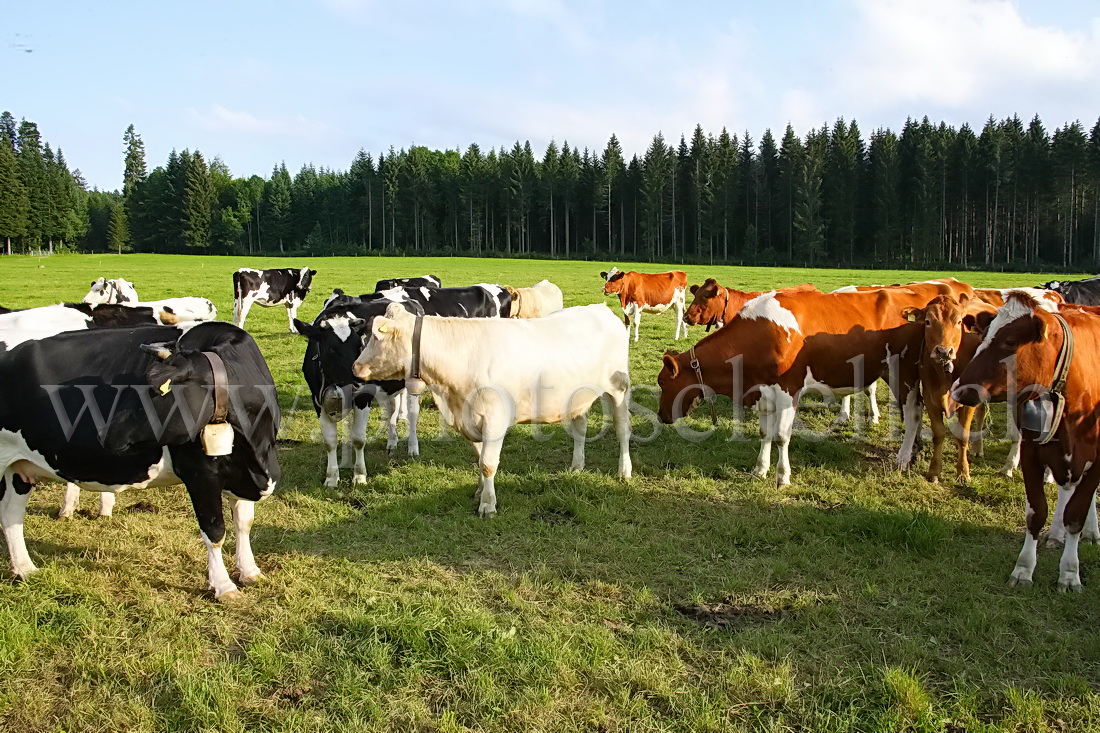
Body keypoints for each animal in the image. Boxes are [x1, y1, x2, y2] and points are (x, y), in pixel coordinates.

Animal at [0, 323, 279, 598]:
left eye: (156, 390)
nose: (103, 433)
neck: (257, 450)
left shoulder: (242, 473)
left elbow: (244, 522)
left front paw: (250, 571)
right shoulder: (200, 472)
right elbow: (215, 531)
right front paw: (223, 586)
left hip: (18, 468)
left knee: (11, 515)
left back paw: (26, 570)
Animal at [347, 301, 633, 512]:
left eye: (375, 338)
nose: (355, 366)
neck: (452, 396)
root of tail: (601, 308)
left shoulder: (495, 418)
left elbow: (488, 462)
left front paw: (488, 504)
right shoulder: (471, 417)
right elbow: (478, 458)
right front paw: (478, 491)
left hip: (618, 388)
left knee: (622, 430)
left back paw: (624, 471)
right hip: (578, 397)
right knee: (580, 428)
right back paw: (576, 466)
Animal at [655, 288, 941, 482]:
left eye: (662, 382)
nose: (660, 416)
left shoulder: (787, 391)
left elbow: (782, 436)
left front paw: (783, 476)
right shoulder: (763, 392)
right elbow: (764, 433)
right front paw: (760, 469)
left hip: (904, 372)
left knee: (913, 415)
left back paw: (902, 459)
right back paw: (913, 454)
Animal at [954, 290, 1100, 589]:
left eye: (1010, 341)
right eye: (983, 336)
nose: (958, 391)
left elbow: (1076, 515)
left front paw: (1070, 573)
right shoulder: (1034, 453)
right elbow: (1036, 513)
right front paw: (1023, 569)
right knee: (1065, 489)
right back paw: (1055, 534)